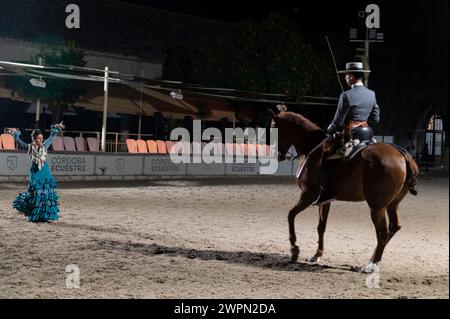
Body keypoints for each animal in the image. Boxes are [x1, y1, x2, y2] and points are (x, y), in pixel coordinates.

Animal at [268, 111, 420, 274]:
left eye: (274, 128)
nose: (276, 154)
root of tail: (403, 155)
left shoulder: (308, 194)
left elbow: (291, 215)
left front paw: (294, 249)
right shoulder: (324, 200)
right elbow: (321, 226)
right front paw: (317, 255)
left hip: (377, 207)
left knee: (383, 233)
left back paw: (371, 265)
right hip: (392, 204)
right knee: (393, 227)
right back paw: (371, 261)